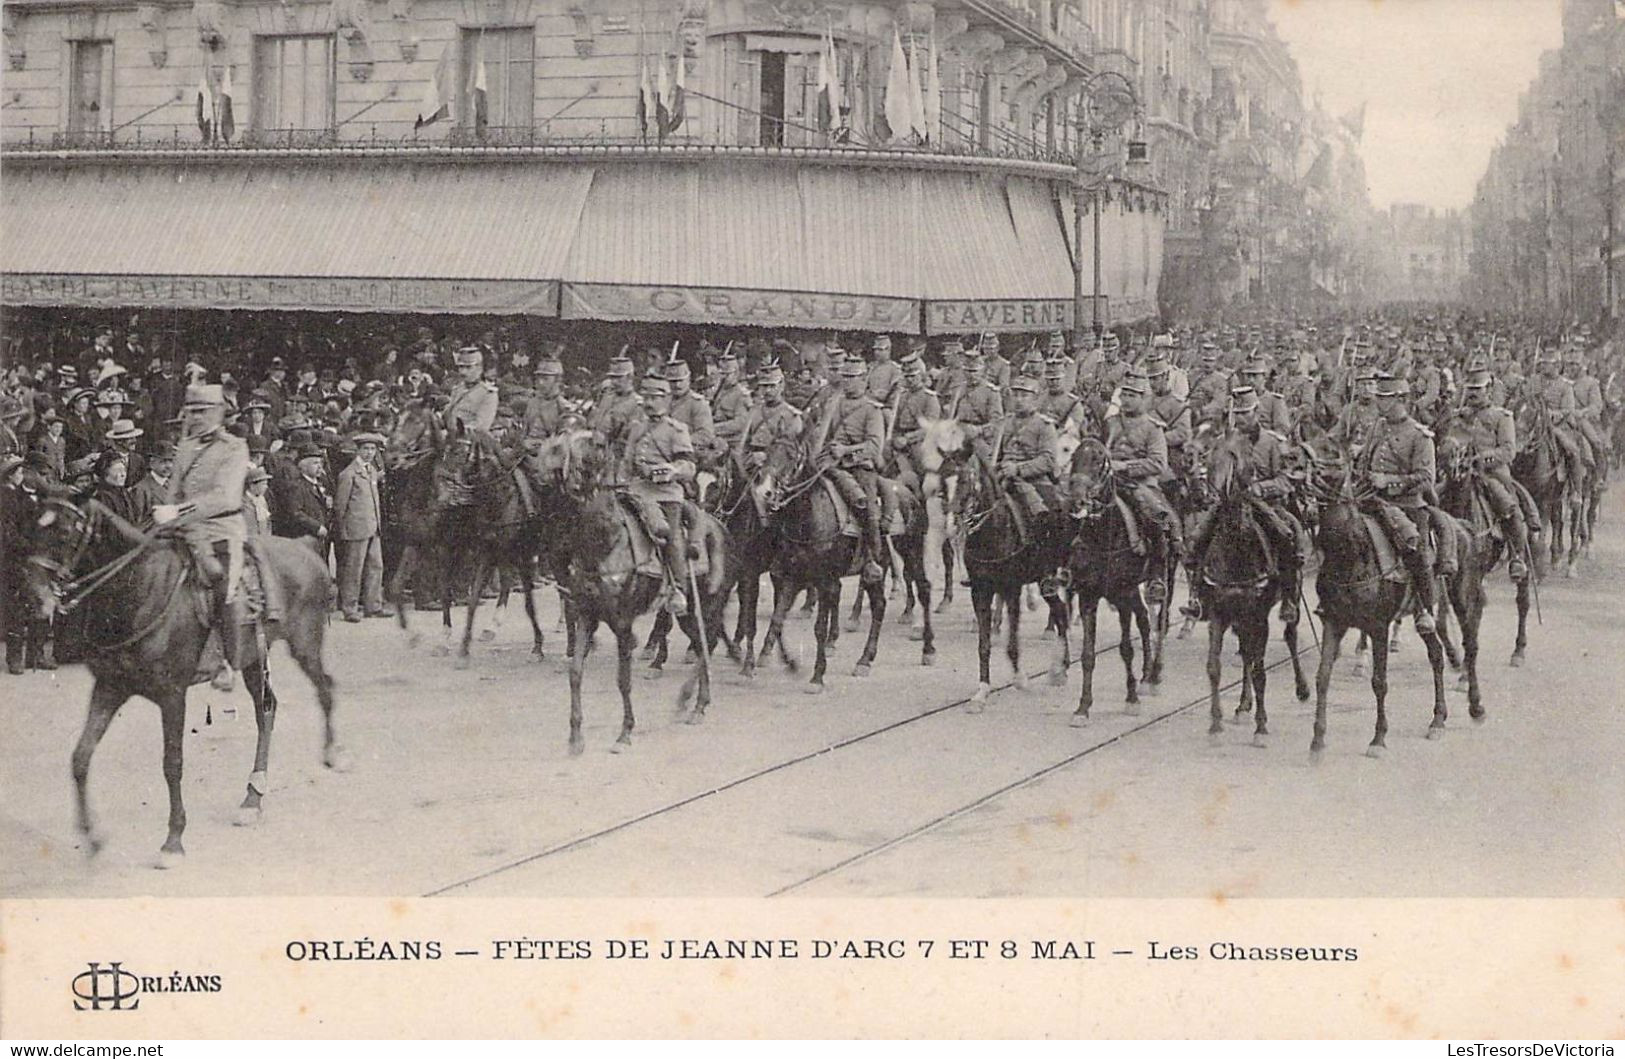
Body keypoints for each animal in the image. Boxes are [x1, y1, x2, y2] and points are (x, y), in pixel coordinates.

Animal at [20, 497, 341, 870]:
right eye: (34, 526)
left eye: (64, 532)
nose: (32, 597)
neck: (139, 587)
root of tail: (305, 546)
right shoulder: (110, 687)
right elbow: (81, 757)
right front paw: (92, 837)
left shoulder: (172, 695)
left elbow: (172, 764)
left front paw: (173, 840)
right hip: (251, 657)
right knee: (267, 712)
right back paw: (252, 799)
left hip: (304, 643)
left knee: (325, 688)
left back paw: (333, 754)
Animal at [750, 432, 936, 691]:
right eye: (767, 453)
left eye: (791, 456)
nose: (764, 491)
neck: (809, 515)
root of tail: (907, 492)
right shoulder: (792, 576)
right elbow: (778, 618)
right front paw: (786, 663)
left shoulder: (824, 580)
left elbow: (819, 627)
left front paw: (817, 677)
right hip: (880, 563)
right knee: (879, 605)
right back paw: (865, 660)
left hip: (911, 550)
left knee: (924, 590)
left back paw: (928, 649)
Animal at [1059, 438, 1163, 727]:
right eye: (1074, 457)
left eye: (1099, 461)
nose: (1077, 501)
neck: (1105, 534)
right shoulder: (1088, 596)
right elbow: (1087, 655)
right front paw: (1082, 708)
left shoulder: (1123, 592)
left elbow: (1126, 648)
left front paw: (1132, 700)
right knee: (1144, 619)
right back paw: (1145, 675)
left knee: (1154, 622)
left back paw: (1152, 676)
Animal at [1202, 428, 1313, 743]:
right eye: (1210, 454)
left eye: (1237, 456)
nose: (1213, 494)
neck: (1235, 549)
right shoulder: (1218, 613)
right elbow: (1214, 667)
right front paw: (1216, 723)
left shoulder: (1258, 615)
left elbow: (1261, 669)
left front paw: (1261, 726)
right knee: (1247, 653)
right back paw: (1242, 704)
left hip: (1291, 594)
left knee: (1289, 635)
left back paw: (1302, 688)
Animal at [1306, 458, 1462, 756]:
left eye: (1334, 461)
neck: (1351, 555)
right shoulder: (1334, 622)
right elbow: (1322, 677)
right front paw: (1317, 741)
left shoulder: (1378, 627)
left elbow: (1379, 682)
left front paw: (1378, 738)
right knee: (1436, 654)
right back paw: (1439, 717)